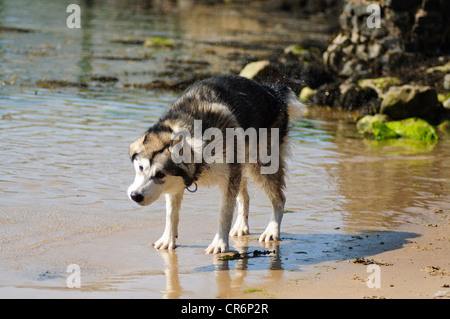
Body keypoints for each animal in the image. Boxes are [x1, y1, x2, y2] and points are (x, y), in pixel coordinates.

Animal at [126, 75, 304, 255]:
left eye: (160, 174)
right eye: (141, 168)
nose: (135, 196)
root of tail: (273, 92)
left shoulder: (228, 178)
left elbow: (224, 214)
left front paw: (220, 243)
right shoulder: (178, 183)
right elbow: (171, 214)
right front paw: (168, 239)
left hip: (260, 166)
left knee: (279, 199)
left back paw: (272, 230)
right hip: (242, 165)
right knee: (245, 197)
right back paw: (242, 226)